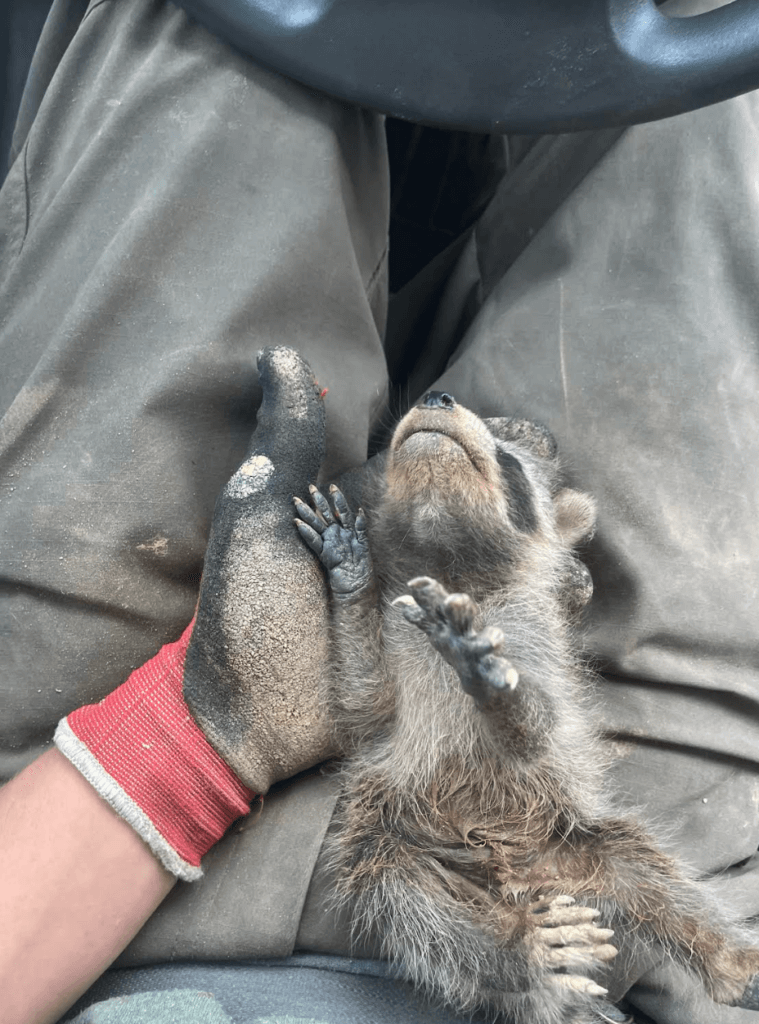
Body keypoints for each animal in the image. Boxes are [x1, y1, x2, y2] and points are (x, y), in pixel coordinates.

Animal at [293, 389, 759, 1024]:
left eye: (509, 460)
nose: (437, 395)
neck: (451, 562)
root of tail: (515, 881)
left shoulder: (536, 638)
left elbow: (539, 730)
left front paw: (500, 689)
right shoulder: (392, 651)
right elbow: (362, 701)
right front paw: (351, 577)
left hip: (575, 841)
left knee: (652, 876)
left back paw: (732, 965)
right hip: (392, 838)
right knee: (418, 912)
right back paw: (515, 954)